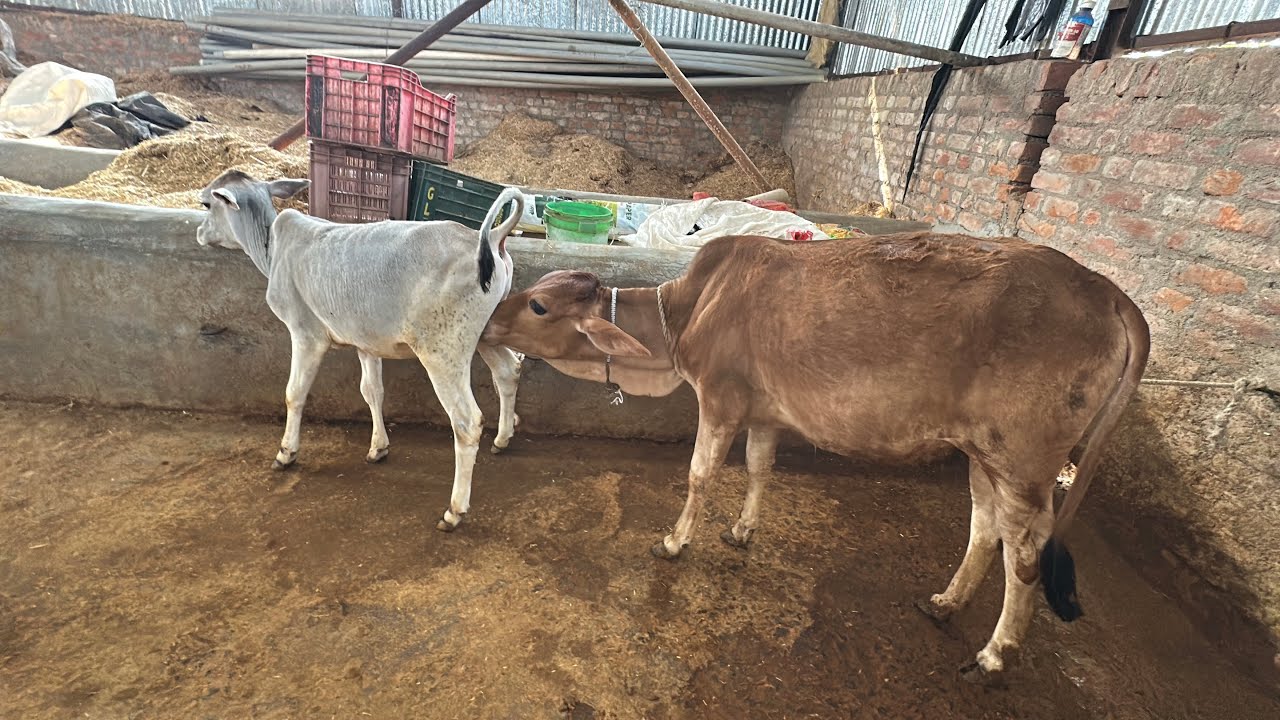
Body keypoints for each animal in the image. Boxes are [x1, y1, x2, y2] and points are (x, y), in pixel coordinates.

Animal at [195, 169, 526, 532]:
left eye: (207, 203)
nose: (199, 233)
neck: (270, 247)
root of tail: (491, 236)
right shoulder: (366, 341)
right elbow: (372, 391)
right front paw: (378, 448)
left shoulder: (305, 333)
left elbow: (294, 393)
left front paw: (286, 453)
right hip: (486, 333)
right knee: (508, 371)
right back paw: (503, 438)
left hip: (443, 348)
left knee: (467, 421)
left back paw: (454, 511)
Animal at [480, 231, 1150, 681]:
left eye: (538, 305)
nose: (485, 321)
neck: (686, 314)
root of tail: (1102, 287)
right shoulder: (764, 414)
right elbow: (758, 468)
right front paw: (742, 531)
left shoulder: (720, 398)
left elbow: (701, 475)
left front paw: (674, 541)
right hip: (982, 452)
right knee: (987, 530)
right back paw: (946, 602)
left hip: (1022, 462)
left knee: (1026, 554)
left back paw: (995, 651)